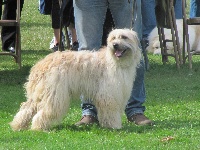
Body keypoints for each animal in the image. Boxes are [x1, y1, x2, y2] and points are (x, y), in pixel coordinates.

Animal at [9, 28, 142, 131]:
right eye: (113, 38)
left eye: (124, 37)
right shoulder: (109, 95)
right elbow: (110, 111)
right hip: (55, 95)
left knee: (26, 109)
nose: (115, 45)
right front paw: (114, 125)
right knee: (43, 112)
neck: (114, 61)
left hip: (38, 94)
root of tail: (41, 65)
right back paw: (39, 127)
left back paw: (18, 125)